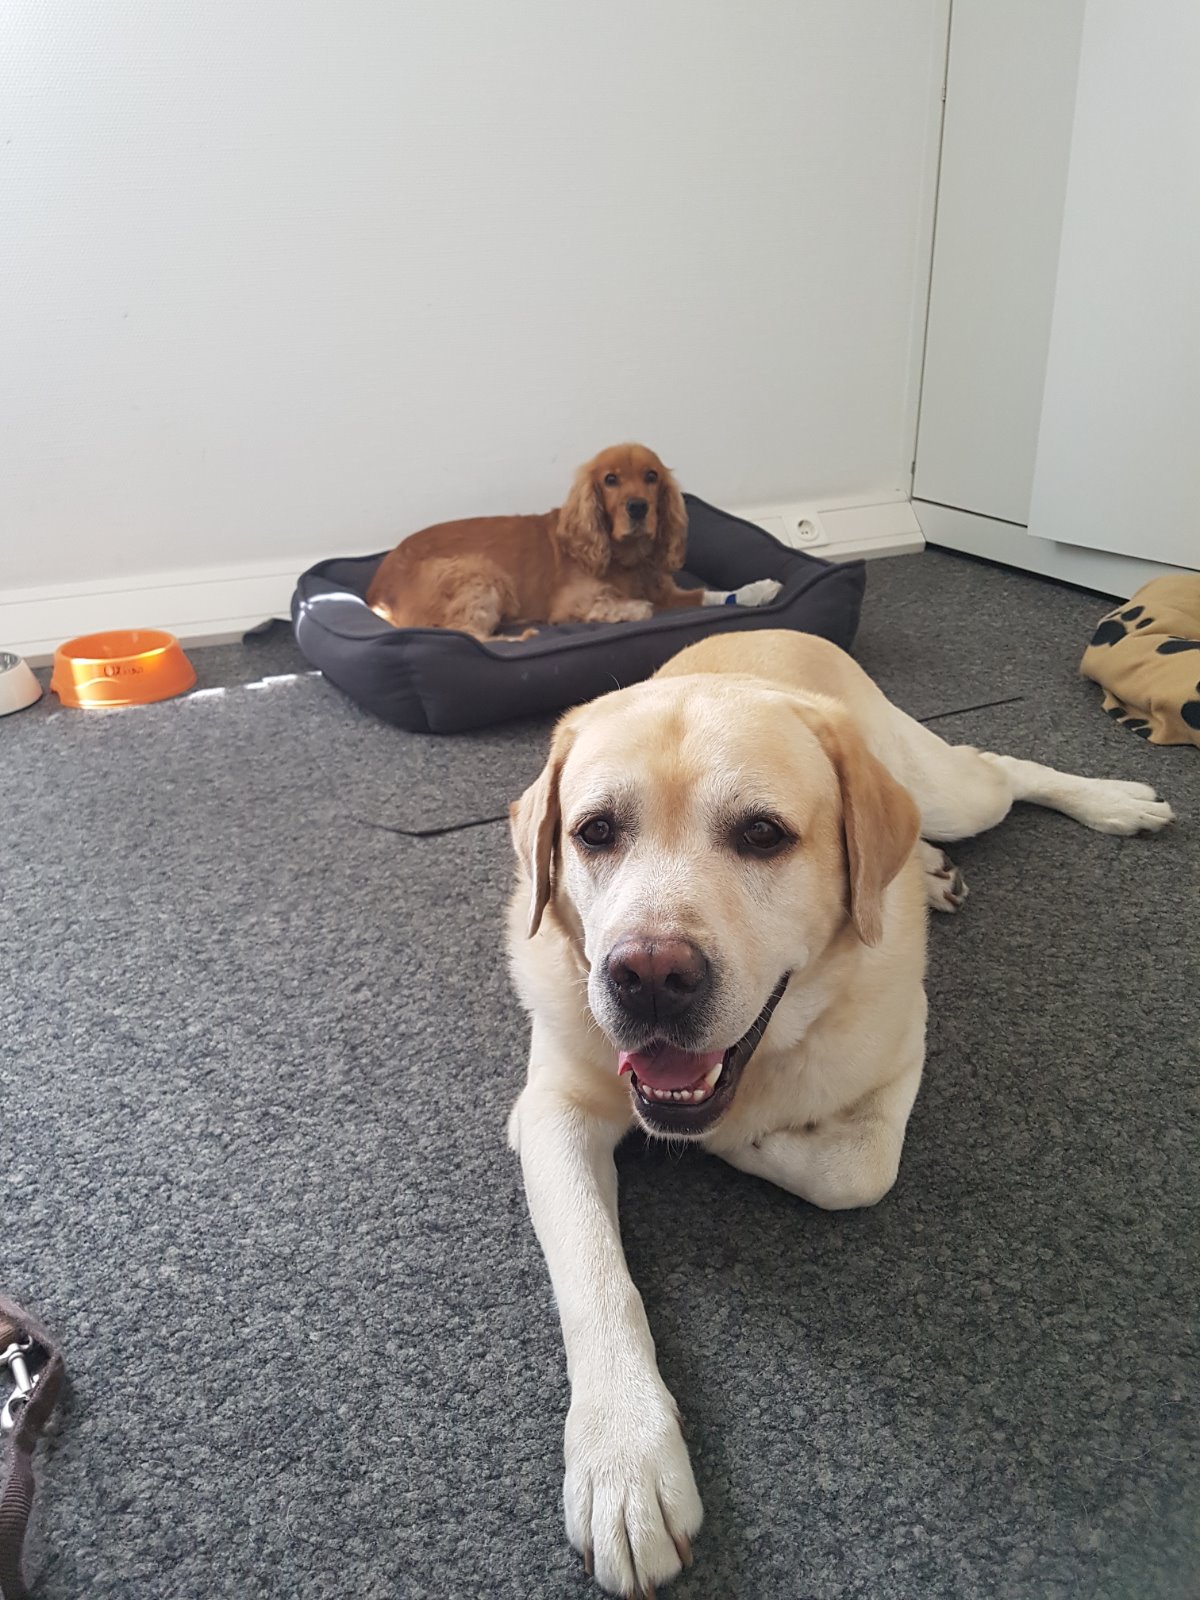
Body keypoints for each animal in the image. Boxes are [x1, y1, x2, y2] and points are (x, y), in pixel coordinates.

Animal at [365, 443, 781, 638]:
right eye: (611, 480)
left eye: (651, 476)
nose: (638, 507)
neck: (626, 558)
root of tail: (375, 592)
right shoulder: (571, 604)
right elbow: (635, 607)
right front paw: (629, 609)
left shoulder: (668, 591)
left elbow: (708, 595)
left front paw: (758, 589)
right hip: (478, 572)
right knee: (469, 635)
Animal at [505, 629, 1174, 1597]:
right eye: (595, 832)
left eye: (762, 835)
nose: (648, 975)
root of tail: (775, 629)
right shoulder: (552, 1107)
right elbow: (595, 1278)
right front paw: (625, 1460)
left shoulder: (901, 1044)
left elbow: (853, 1171)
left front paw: (744, 1141)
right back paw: (930, 868)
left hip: (951, 786)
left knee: (997, 769)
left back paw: (1113, 803)